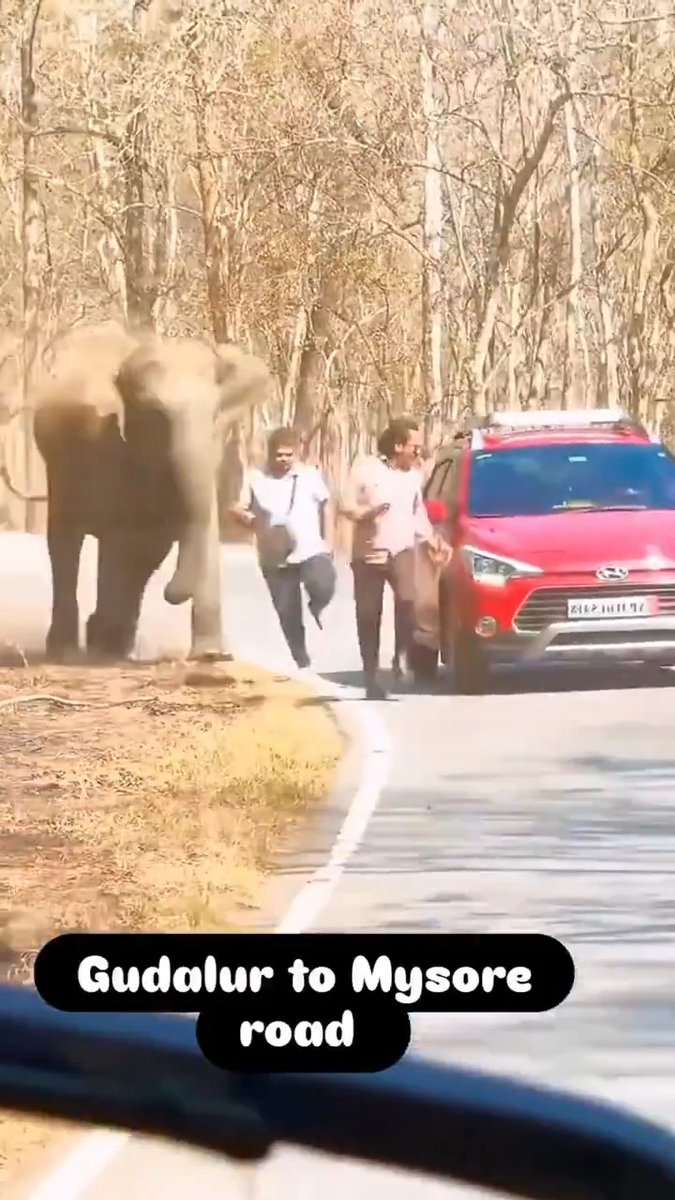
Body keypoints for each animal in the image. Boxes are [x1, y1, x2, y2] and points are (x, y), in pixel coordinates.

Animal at [32, 321, 272, 663]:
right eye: (158, 417)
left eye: (216, 415)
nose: (172, 594)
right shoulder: (107, 446)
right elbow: (123, 539)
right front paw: (105, 646)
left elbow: (181, 533)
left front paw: (212, 655)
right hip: (60, 466)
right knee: (68, 542)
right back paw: (73, 649)